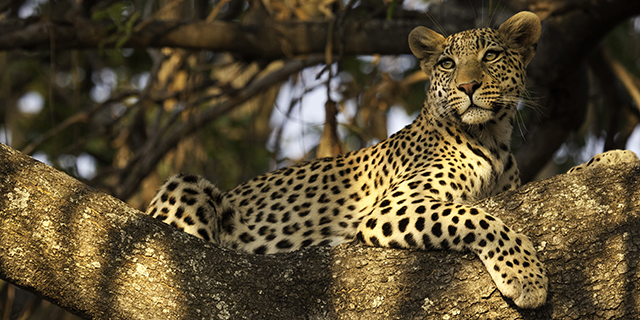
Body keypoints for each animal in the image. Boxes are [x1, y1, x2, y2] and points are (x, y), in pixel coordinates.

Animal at [146, 11, 636, 308]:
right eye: (446, 63)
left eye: (491, 55)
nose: (469, 86)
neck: (493, 140)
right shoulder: (396, 205)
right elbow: (479, 217)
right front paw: (526, 277)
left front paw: (608, 159)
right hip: (186, 186)